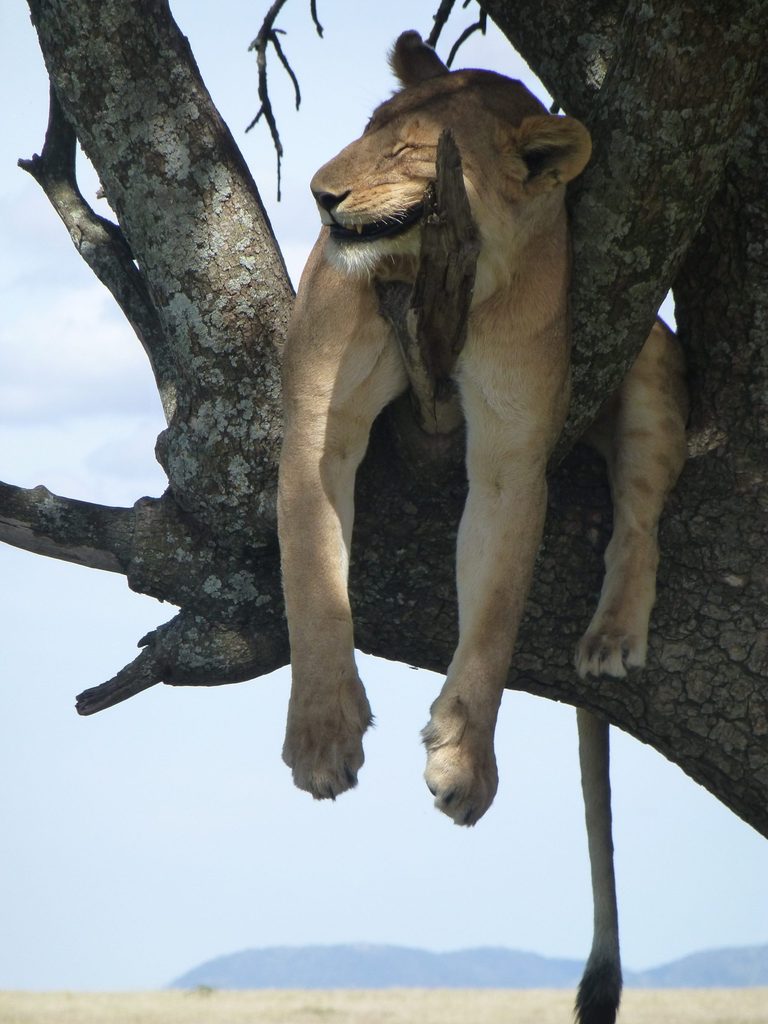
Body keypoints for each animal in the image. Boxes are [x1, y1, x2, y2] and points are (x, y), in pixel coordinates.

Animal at [277, 30, 687, 1024]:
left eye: (408, 151)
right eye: (368, 128)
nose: (319, 194)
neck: (441, 278)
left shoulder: (510, 455)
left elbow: (496, 616)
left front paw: (464, 764)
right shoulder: (317, 429)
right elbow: (313, 579)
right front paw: (323, 739)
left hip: (652, 362)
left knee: (640, 518)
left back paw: (612, 637)